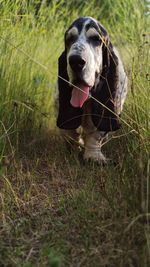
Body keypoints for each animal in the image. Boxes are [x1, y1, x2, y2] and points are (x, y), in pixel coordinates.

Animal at [56, 17, 127, 163]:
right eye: (70, 39)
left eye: (96, 39)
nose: (76, 61)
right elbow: (71, 131)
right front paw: (74, 148)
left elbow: (96, 134)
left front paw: (94, 156)